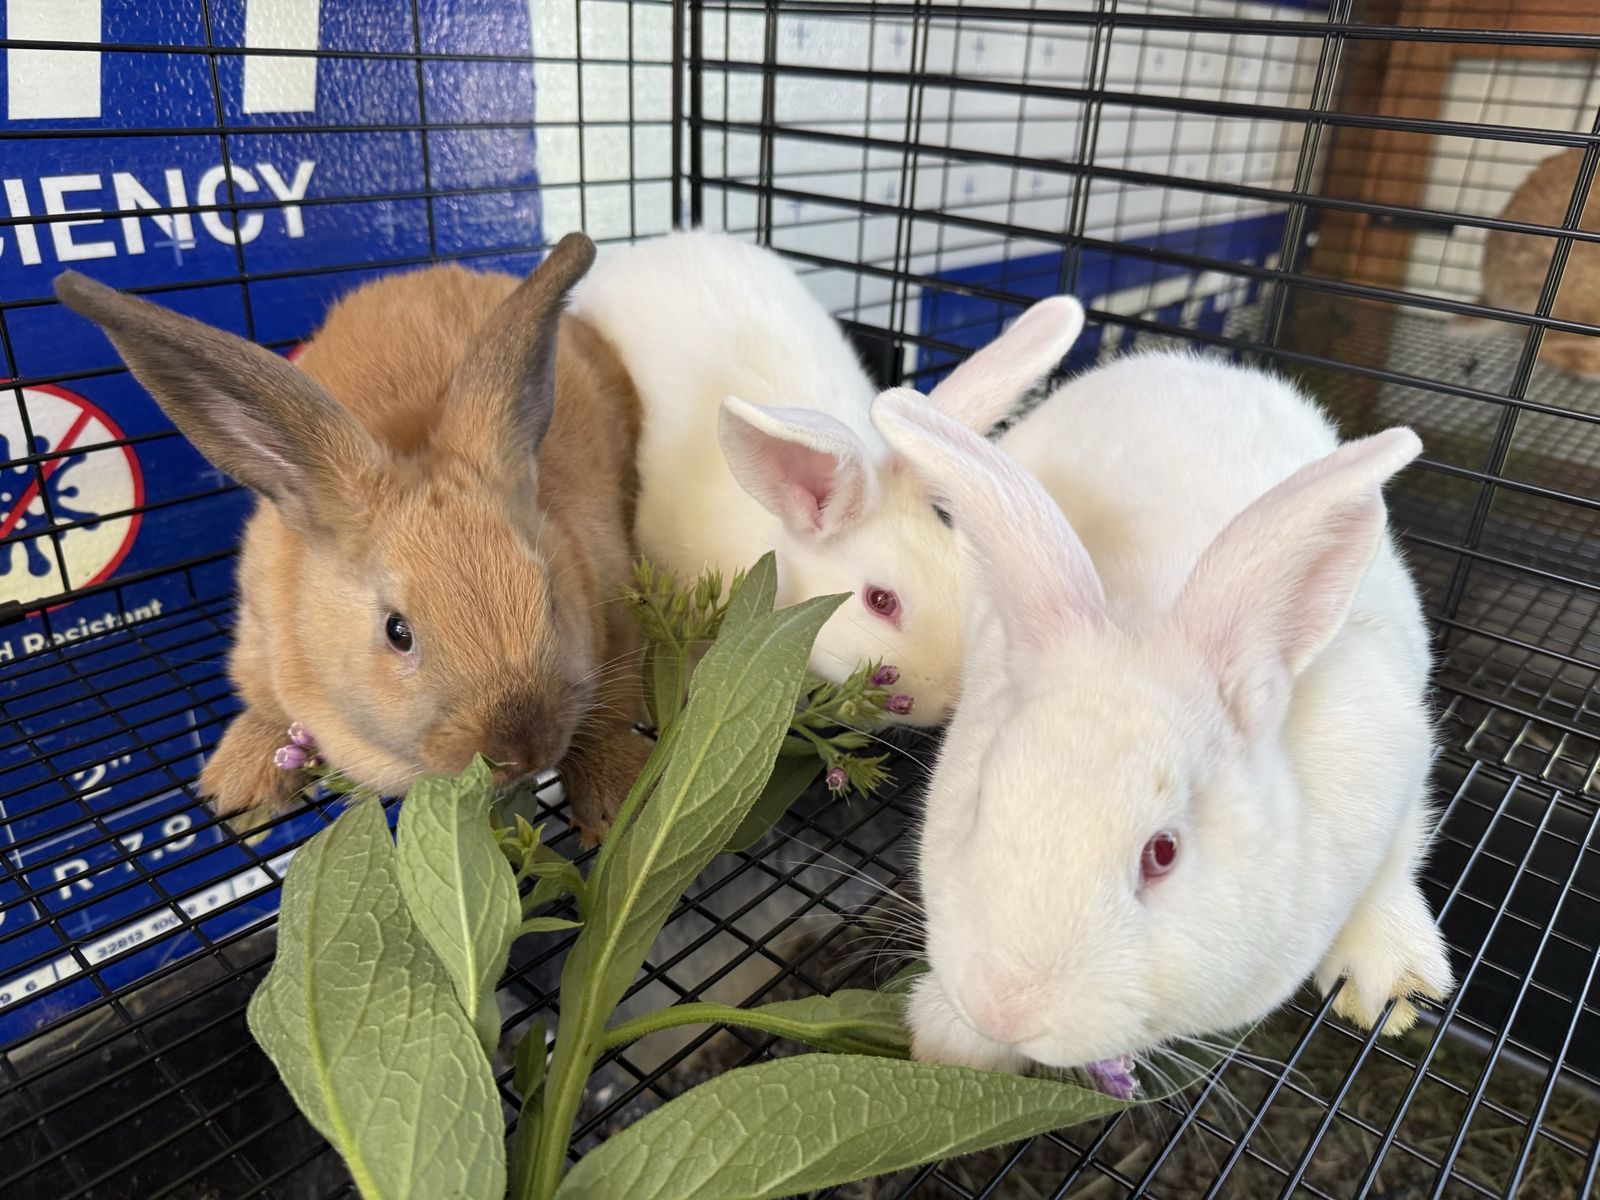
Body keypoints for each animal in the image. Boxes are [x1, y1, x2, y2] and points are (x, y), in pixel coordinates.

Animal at [54, 233, 651, 845]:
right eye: (397, 632)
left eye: (551, 599)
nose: (521, 751)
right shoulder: (259, 634)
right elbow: (268, 708)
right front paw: (239, 790)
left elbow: (608, 719)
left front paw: (620, 803)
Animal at [868, 350, 1454, 1077]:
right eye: (977, 805)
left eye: (1163, 852)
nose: (1004, 1008)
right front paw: (953, 1038)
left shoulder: (1394, 746)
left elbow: (1399, 851)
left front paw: (1389, 982)